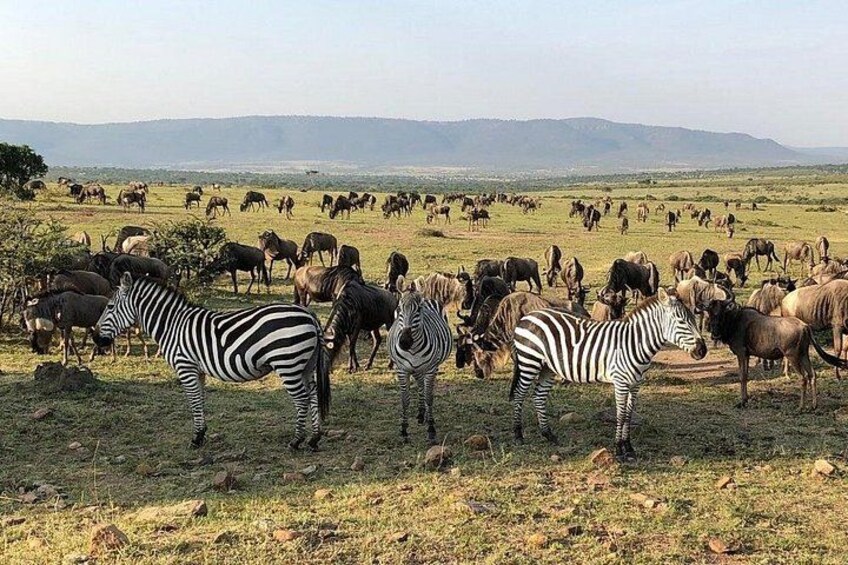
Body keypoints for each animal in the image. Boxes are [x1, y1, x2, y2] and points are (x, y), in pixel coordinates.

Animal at [93, 273, 330, 450]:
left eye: (110, 307)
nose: (96, 338)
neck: (172, 325)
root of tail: (309, 315)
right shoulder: (197, 370)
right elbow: (200, 399)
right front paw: (202, 433)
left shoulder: (185, 366)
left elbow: (193, 401)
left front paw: (196, 438)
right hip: (305, 365)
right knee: (313, 394)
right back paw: (314, 438)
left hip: (287, 363)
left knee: (302, 399)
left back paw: (296, 441)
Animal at [387, 281, 453, 444]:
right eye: (399, 309)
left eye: (419, 309)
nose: (404, 342)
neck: (413, 349)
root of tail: (427, 297)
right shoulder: (402, 370)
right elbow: (405, 399)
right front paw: (404, 431)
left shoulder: (430, 369)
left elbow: (429, 397)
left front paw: (431, 429)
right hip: (416, 369)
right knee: (420, 384)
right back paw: (421, 413)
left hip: (431, 366)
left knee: (423, 386)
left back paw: (425, 415)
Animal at [510, 288, 706, 461]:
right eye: (681, 321)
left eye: (694, 319)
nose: (702, 350)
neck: (634, 343)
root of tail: (527, 316)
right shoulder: (621, 382)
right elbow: (620, 415)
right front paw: (619, 449)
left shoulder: (636, 384)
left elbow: (629, 415)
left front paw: (629, 448)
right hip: (529, 361)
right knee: (519, 394)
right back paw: (518, 435)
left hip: (547, 367)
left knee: (539, 396)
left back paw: (548, 434)